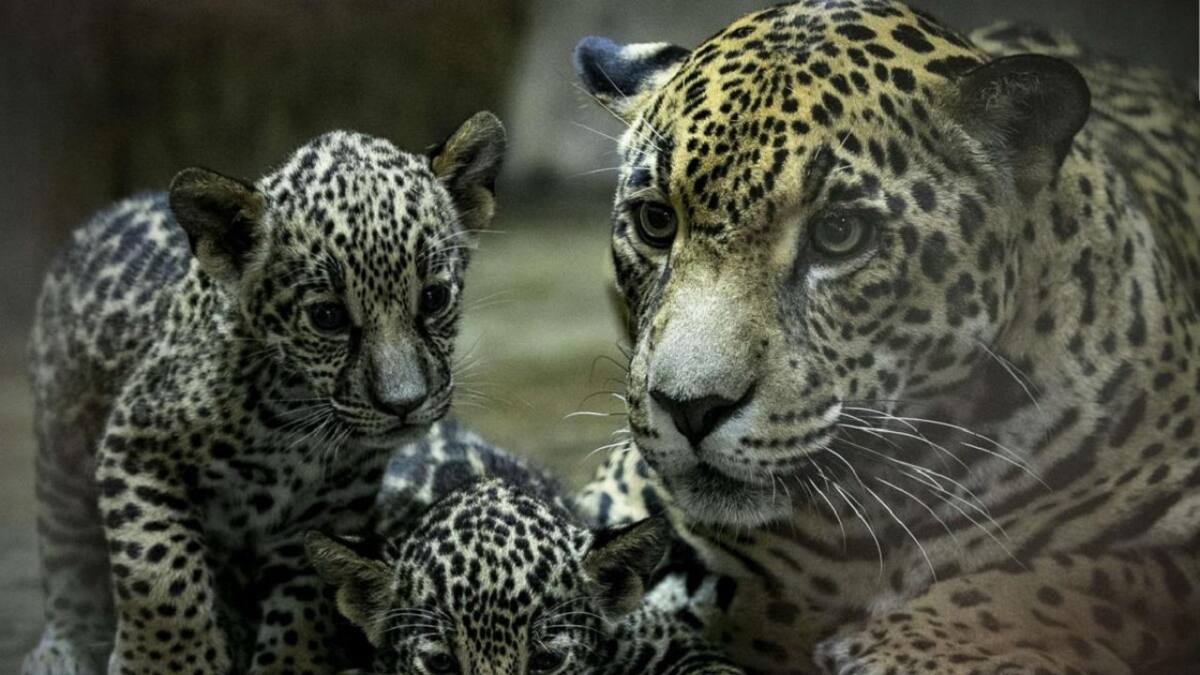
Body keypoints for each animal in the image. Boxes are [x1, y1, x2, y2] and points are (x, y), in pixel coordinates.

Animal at [23, 112, 506, 675]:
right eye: (327, 317)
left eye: (433, 298)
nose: (404, 404)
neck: (291, 418)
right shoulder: (135, 445)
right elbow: (160, 574)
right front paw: (173, 664)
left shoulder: (327, 506)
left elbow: (304, 602)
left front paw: (290, 663)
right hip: (59, 451)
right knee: (66, 557)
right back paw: (63, 646)